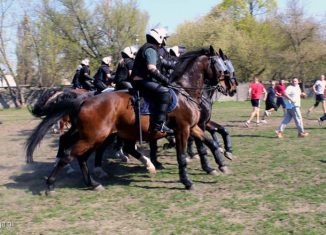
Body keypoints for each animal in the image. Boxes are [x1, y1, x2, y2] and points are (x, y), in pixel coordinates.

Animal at [26, 45, 234, 193]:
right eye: (222, 66)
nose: (231, 87)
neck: (185, 91)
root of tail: (85, 100)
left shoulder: (194, 127)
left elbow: (210, 142)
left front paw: (221, 163)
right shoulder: (183, 129)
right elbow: (184, 154)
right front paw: (187, 180)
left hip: (96, 136)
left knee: (82, 155)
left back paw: (94, 182)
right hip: (93, 136)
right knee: (71, 154)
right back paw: (51, 184)